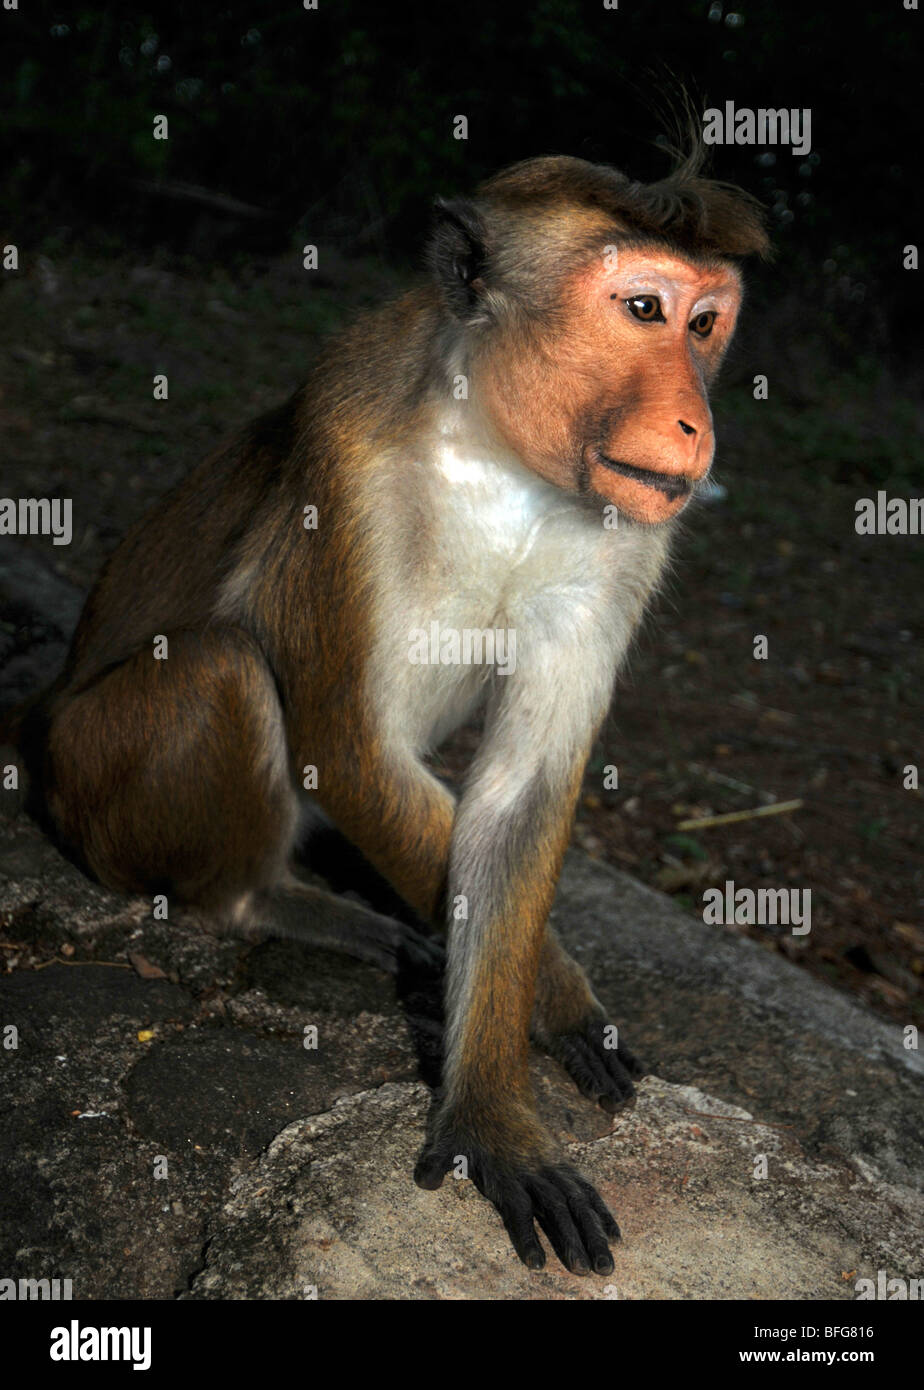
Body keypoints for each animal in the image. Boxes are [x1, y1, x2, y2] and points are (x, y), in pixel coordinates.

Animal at [10, 149, 766, 1273]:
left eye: (706, 322)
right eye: (644, 308)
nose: (695, 421)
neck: (497, 452)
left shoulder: (630, 531)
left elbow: (519, 792)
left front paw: (514, 1058)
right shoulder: (343, 469)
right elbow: (348, 745)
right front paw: (525, 1050)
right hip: (92, 782)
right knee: (220, 669)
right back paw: (279, 901)